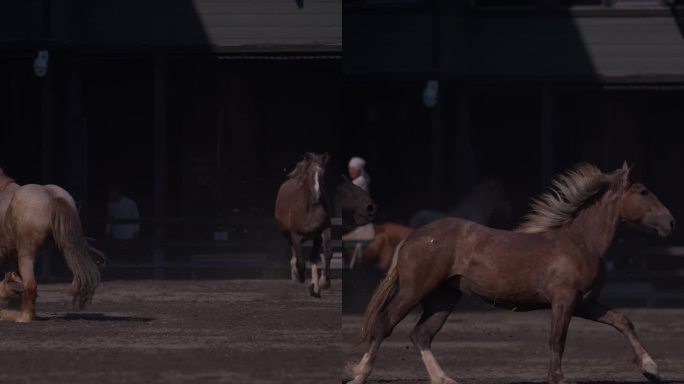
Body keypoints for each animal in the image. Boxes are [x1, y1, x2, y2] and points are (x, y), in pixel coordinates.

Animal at [0, 168, 104, 320]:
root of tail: (52, 197)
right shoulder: (13, 257)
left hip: (26, 254)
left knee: (30, 284)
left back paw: (23, 317)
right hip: (64, 247)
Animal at [276, 153, 334, 296]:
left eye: (323, 172)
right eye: (308, 172)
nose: (317, 196)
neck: (310, 208)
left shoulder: (324, 230)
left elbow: (327, 252)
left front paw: (324, 282)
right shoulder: (295, 234)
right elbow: (301, 261)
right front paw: (299, 276)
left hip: (315, 237)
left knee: (313, 257)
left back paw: (315, 286)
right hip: (287, 233)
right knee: (295, 252)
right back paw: (296, 274)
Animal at [350, 164, 676, 384]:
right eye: (643, 192)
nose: (671, 222)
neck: (581, 242)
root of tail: (413, 237)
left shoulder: (584, 303)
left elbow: (623, 321)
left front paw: (651, 368)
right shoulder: (564, 301)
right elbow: (557, 339)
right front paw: (558, 377)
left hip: (443, 298)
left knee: (421, 335)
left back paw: (444, 378)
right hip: (414, 290)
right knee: (384, 325)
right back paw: (358, 374)